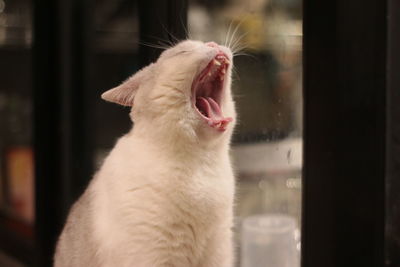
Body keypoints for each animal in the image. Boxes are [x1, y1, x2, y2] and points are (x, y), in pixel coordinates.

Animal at [55, 40, 238, 267]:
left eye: (205, 43)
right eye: (184, 51)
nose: (212, 43)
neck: (201, 163)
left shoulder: (218, 254)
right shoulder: (153, 257)